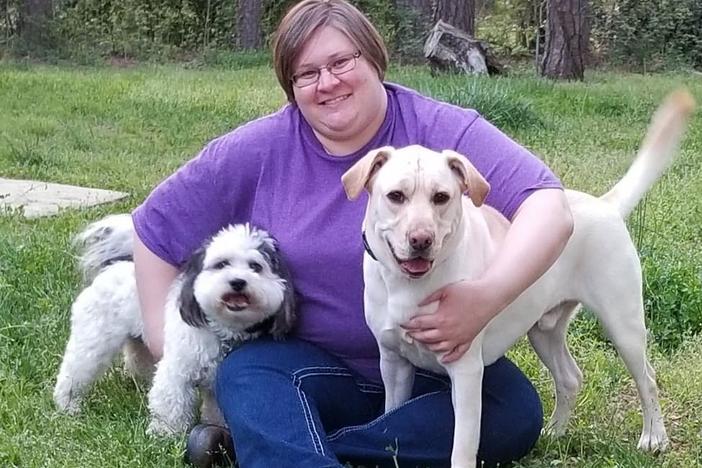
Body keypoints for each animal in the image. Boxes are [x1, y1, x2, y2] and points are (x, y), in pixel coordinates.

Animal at [53, 216, 296, 436]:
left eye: (256, 267)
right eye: (221, 264)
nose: (238, 282)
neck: (221, 331)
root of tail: (114, 267)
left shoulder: (216, 385)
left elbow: (216, 410)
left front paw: (218, 427)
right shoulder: (177, 370)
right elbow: (170, 403)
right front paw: (165, 433)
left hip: (137, 341)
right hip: (93, 340)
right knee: (75, 370)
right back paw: (68, 405)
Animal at [344, 89, 696, 466]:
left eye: (441, 197)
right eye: (396, 196)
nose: (421, 240)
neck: (407, 287)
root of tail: (605, 205)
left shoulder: (466, 373)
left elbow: (462, 448)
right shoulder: (393, 364)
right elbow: (389, 416)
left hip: (623, 326)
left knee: (647, 378)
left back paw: (654, 437)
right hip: (543, 332)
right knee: (570, 378)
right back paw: (554, 432)